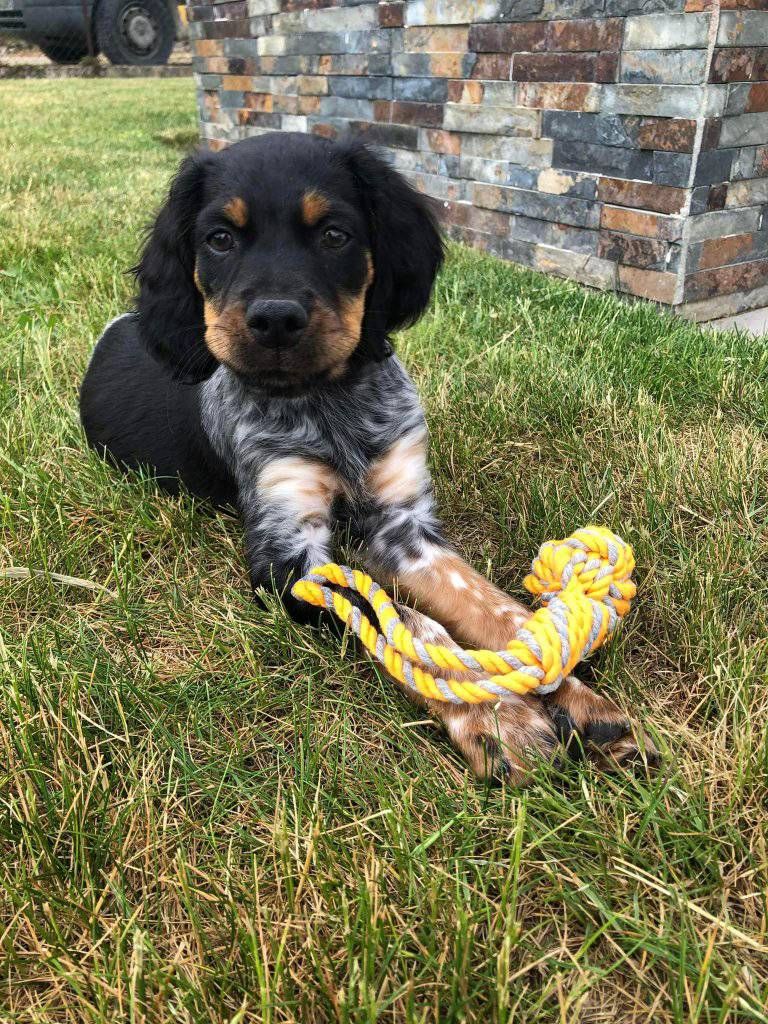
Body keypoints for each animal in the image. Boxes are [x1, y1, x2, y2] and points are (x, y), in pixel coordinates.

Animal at [78, 132, 659, 778]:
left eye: (335, 234)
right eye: (220, 239)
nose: (275, 319)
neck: (326, 402)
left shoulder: (403, 528)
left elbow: (495, 608)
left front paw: (576, 697)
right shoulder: (290, 554)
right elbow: (400, 622)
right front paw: (497, 717)